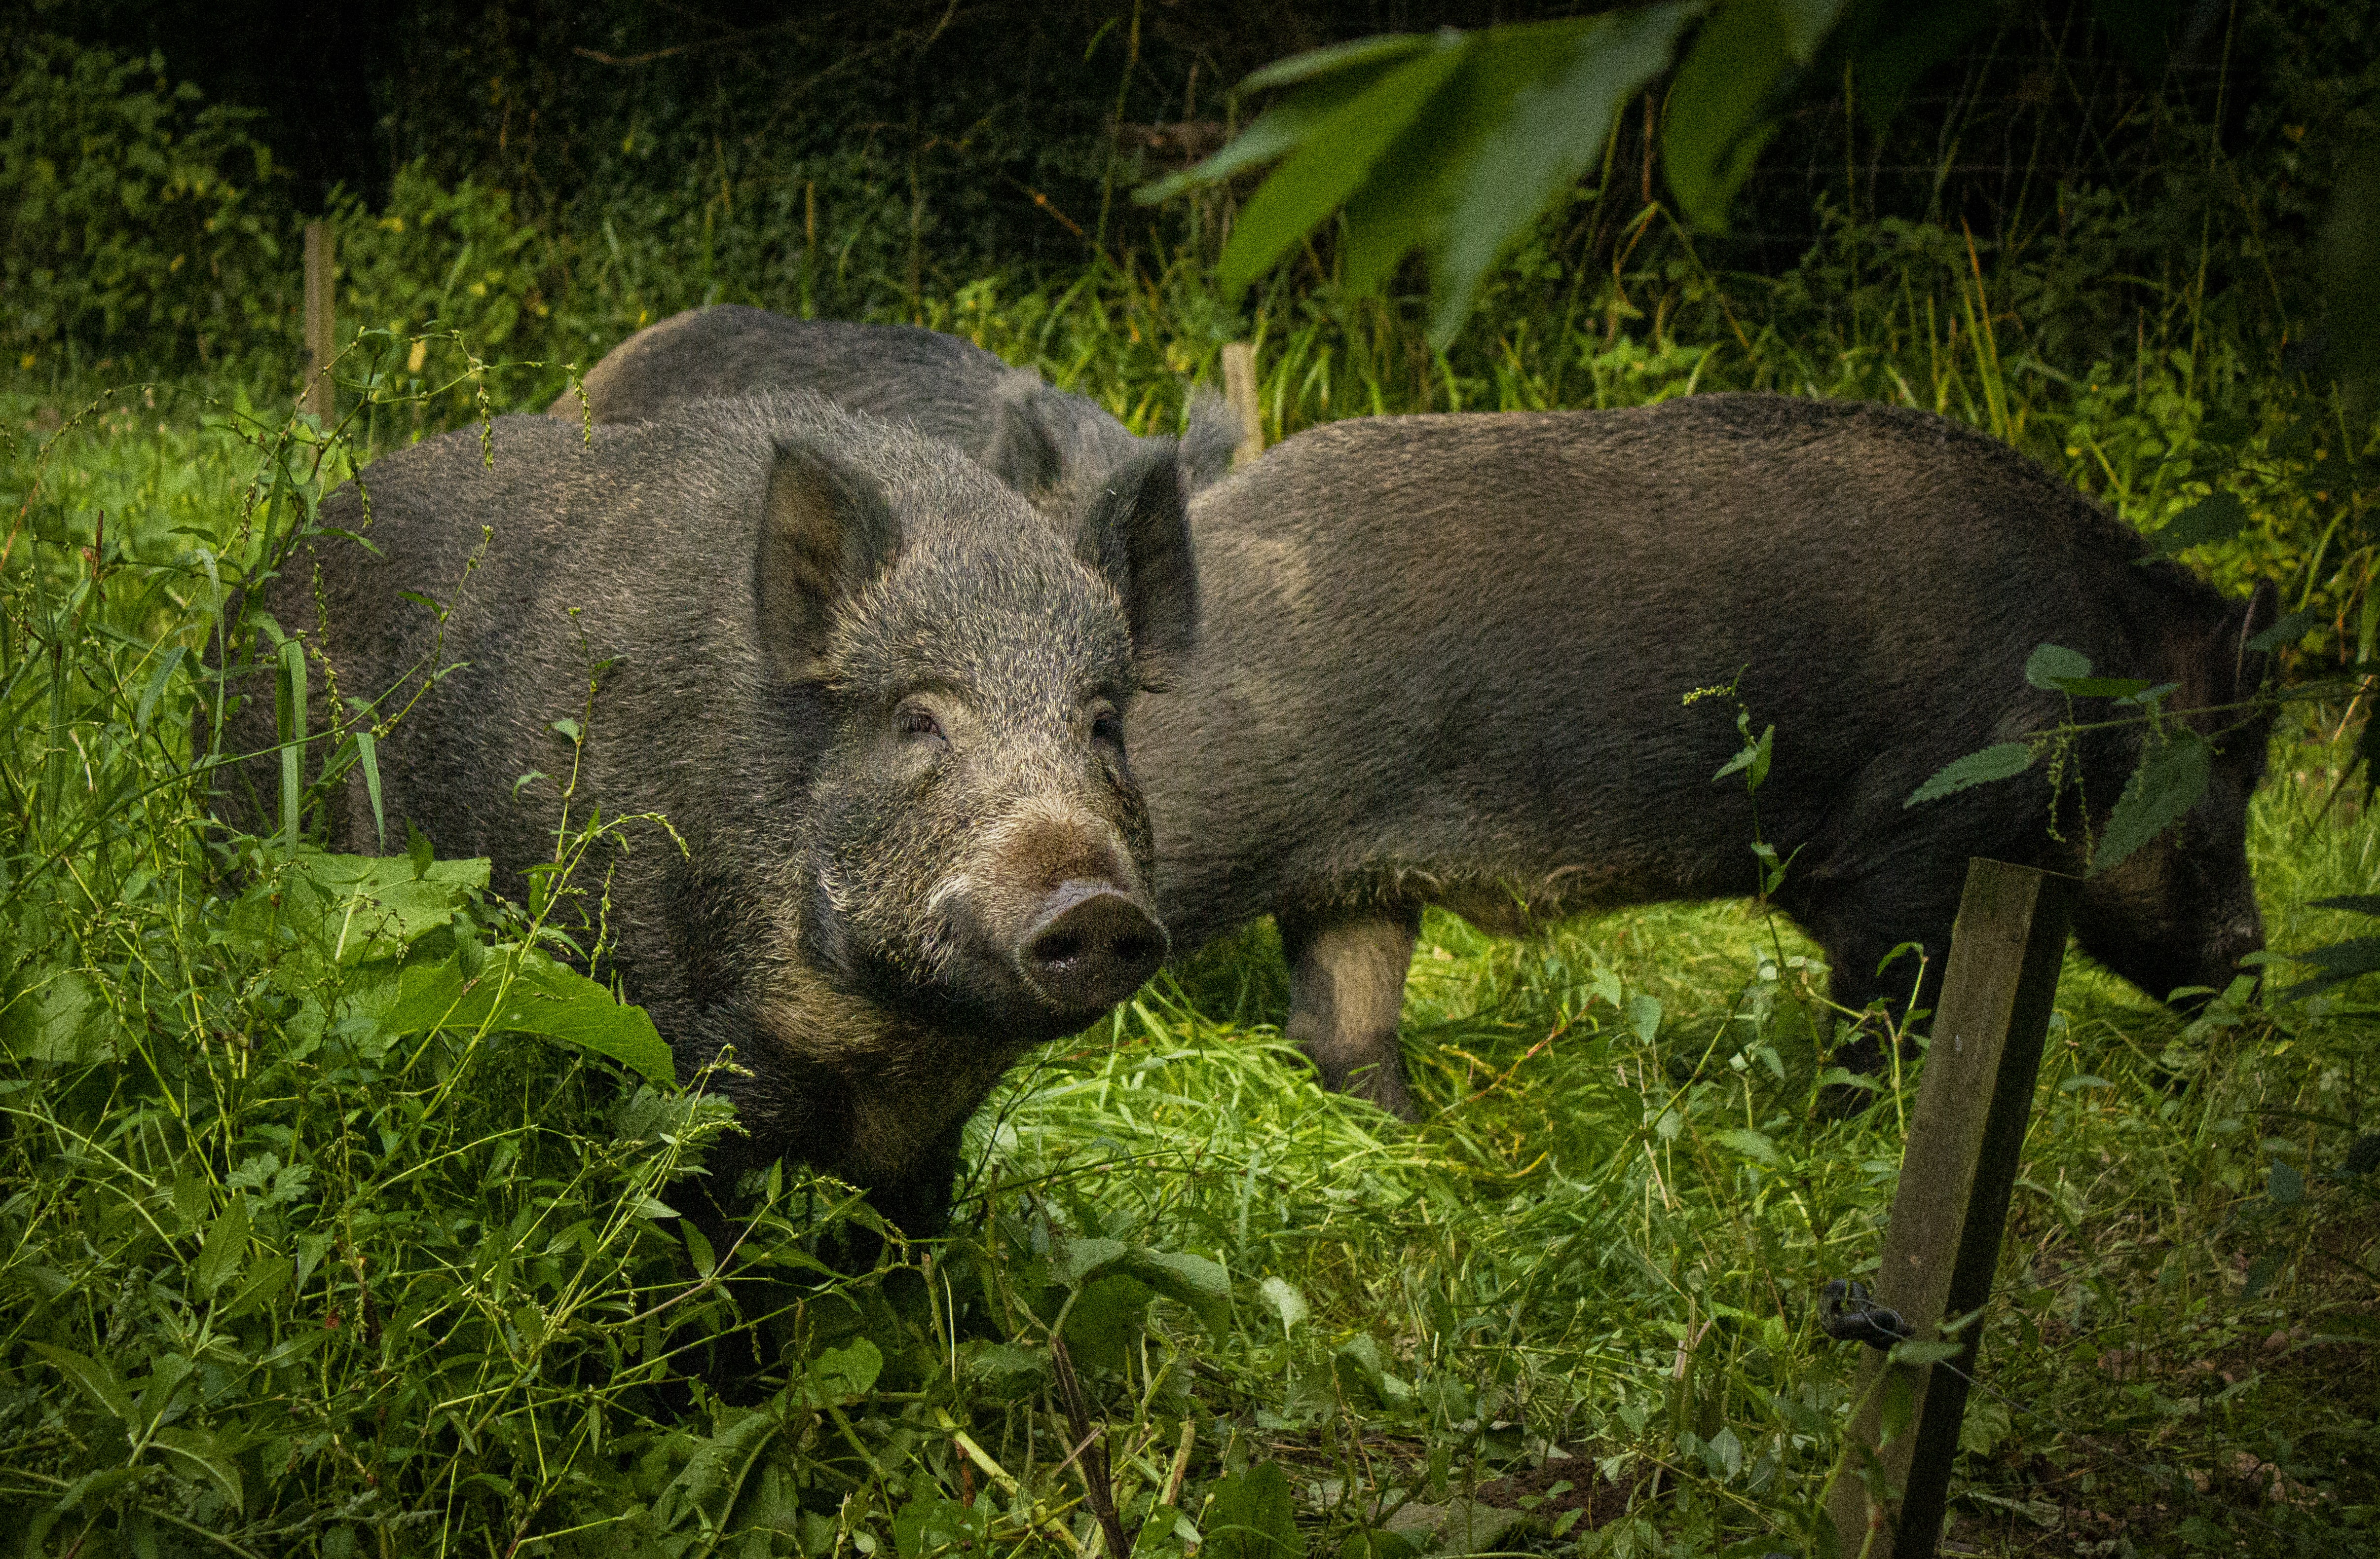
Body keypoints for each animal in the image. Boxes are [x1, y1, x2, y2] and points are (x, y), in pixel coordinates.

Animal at [227, 393, 1199, 1230]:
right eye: (917, 719)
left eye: (1103, 724)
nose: (1094, 903)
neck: (897, 1045)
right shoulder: (682, 1065)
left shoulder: (930, 1147)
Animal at [1126, 395, 2274, 1116]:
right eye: (2228, 785)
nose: (2253, 967)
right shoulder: (1916, 847)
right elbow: (1888, 1019)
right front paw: (1847, 1133)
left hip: (1354, 884)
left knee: (1338, 1027)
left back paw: (1427, 1143)